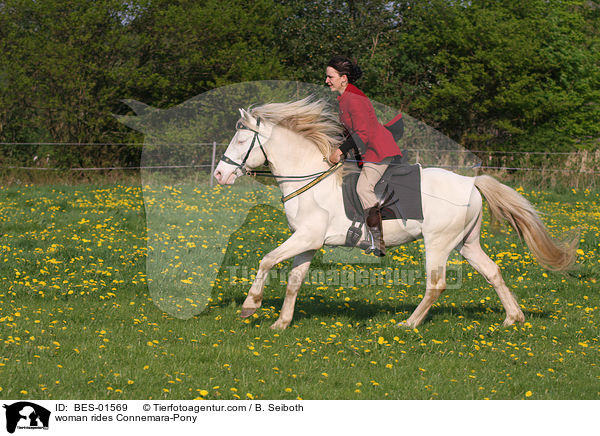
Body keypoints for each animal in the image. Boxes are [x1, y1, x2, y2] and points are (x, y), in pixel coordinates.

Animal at [216, 98, 576, 330]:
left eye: (241, 140)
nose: (220, 174)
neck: (308, 179)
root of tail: (471, 183)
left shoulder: (305, 237)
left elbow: (265, 261)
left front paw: (250, 306)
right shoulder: (308, 242)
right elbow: (293, 281)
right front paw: (281, 323)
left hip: (439, 243)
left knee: (436, 285)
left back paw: (408, 323)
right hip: (466, 243)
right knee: (493, 272)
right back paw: (513, 318)